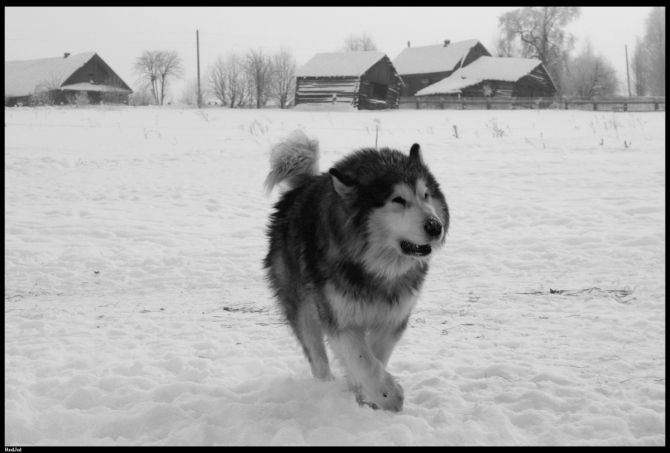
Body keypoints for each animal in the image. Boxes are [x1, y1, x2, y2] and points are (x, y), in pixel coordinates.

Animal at [264, 130, 452, 410]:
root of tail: (302, 187)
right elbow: (363, 360)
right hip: (302, 308)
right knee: (317, 357)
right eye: (398, 200)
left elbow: (374, 357)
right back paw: (325, 387)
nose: (435, 226)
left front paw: (366, 395)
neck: (376, 268)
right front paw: (389, 395)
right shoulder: (340, 319)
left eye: (426, 195)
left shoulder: (393, 318)